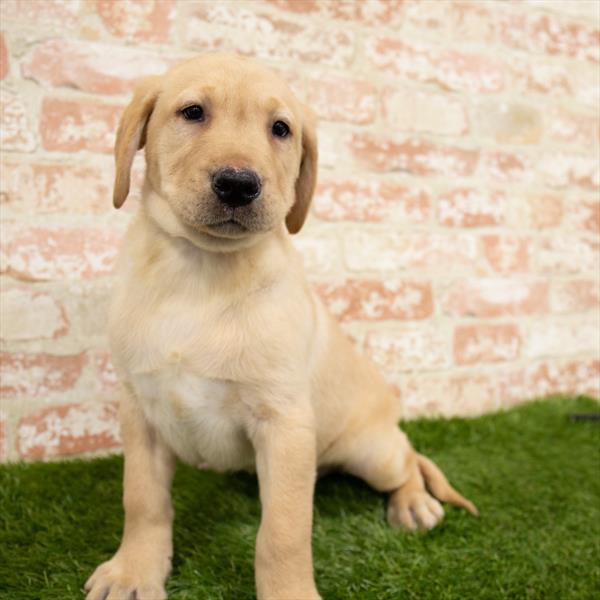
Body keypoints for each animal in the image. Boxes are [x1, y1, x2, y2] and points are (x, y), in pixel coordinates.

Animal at [85, 52, 478, 600]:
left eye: (280, 129)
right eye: (192, 112)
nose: (238, 184)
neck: (201, 275)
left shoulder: (285, 422)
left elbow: (283, 532)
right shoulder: (140, 409)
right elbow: (141, 498)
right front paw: (134, 570)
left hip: (370, 449)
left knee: (407, 458)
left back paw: (413, 502)